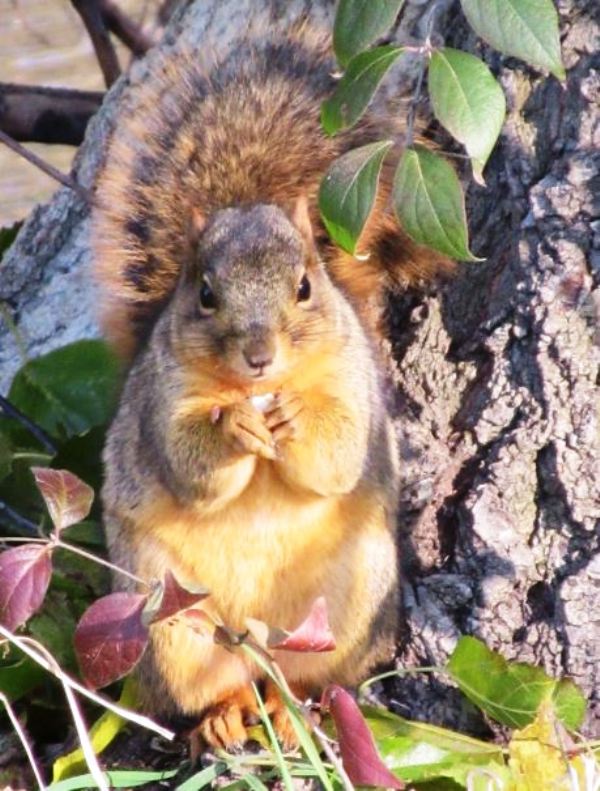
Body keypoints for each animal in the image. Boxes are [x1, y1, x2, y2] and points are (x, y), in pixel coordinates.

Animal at [93, 27, 449, 751]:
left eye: (306, 286)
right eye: (204, 294)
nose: (259, 358)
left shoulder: (354, 384)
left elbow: (338, 456)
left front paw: (295, 419)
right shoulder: (160, 399)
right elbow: (188, 464)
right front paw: (234, 425)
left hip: (351, 604)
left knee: (312, 681)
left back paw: (291, 709)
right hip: (169, 621)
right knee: (216, 686)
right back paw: (225, 716)